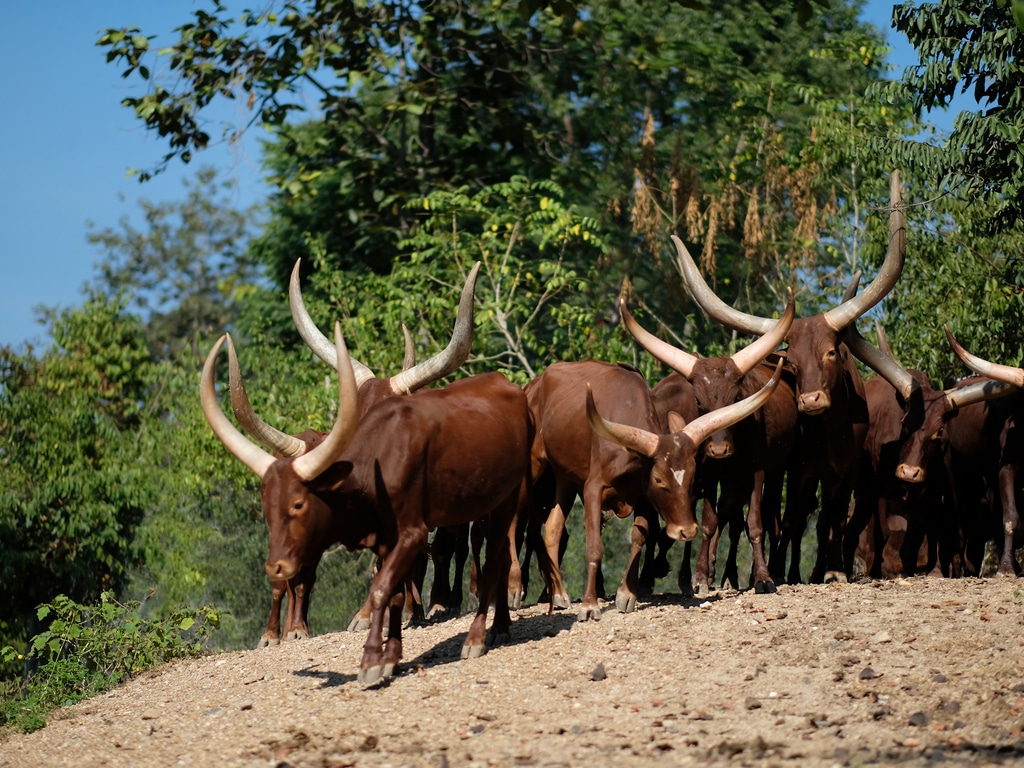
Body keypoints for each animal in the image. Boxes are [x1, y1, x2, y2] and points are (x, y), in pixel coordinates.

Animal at [528, 358, 782, 622]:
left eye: (692, 477)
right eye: (659, 479)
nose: (686, 530)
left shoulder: (642, 497)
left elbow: (640, 536)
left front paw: (627, 594)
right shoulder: (593, 488)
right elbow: (595, 547)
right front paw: (589, 605)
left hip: (564, 478)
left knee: (554, 528)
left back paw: (558, 593)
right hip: (538, 467)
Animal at [618, 286, 794, 593]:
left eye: (736, 398)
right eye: (699, 403)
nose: (719, 449)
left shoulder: (756, 471)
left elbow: (754, 523)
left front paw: (763, 577)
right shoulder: (708, 474)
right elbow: (709, 522)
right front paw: (698, 576)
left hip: (775, 473)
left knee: (759, 520)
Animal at [679, 173, 905, 581]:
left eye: (831, 352)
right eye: (793, 364)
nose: (810, 401)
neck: (834, 431)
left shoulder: (846, 472)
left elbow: (832, 520)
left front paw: (832, 570)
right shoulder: (800, 470)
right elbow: (792, 520)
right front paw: (785, 572)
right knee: (777, 517)